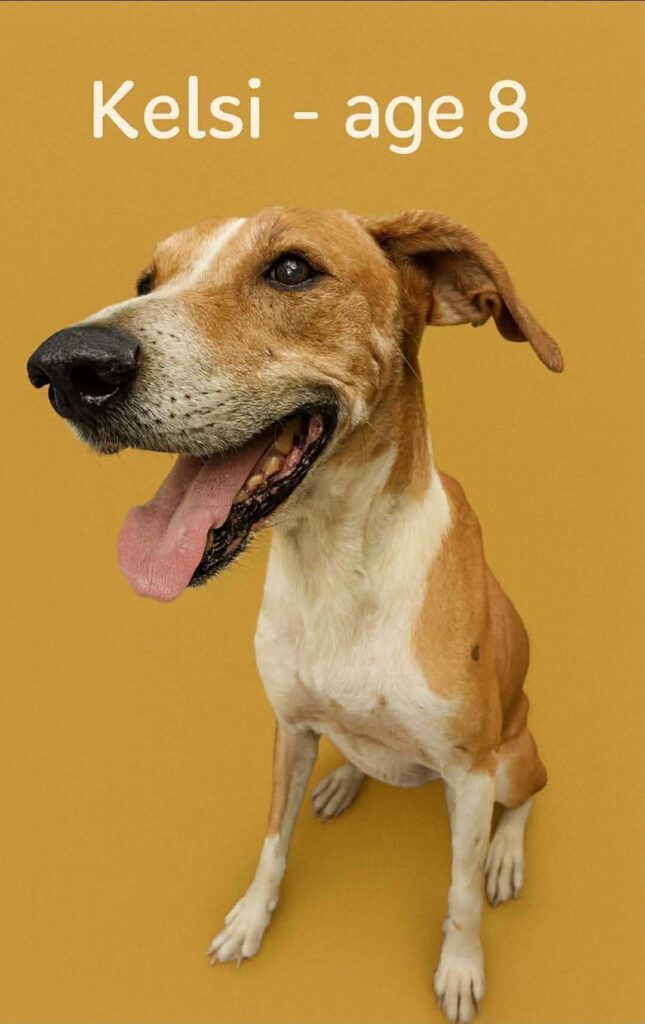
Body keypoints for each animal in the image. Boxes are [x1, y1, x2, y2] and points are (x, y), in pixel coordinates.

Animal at [27, 207, 563, 1023]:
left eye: (289, 270)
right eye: (147, 280)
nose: (65, 367)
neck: (337, 566)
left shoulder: (470, 777)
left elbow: (461, 893)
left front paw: (462, 966)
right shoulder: (289, 726)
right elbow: (274, 838)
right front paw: (251, 919)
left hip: (511, 756)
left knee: (527, 796)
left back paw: (505, 853)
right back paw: (345, 781)